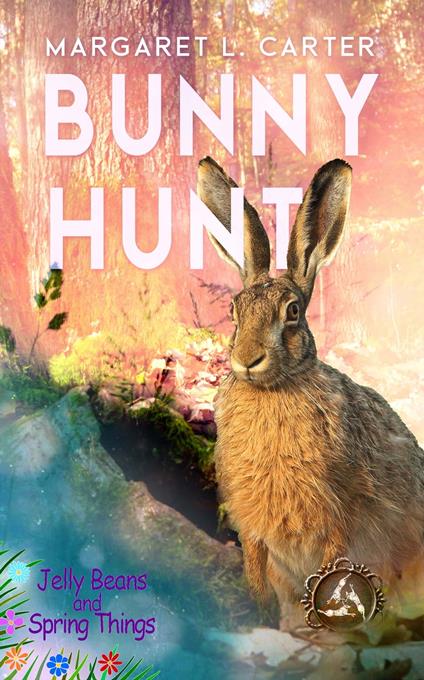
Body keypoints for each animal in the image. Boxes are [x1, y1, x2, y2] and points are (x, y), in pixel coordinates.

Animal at [197, 156, 424, 627]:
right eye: (234, 310)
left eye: (293, 312)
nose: (247, 359)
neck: (273, 390)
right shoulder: (253, 526)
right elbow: (256, 572)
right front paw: (261, 616)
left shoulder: (342, 515)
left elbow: (334, 571)